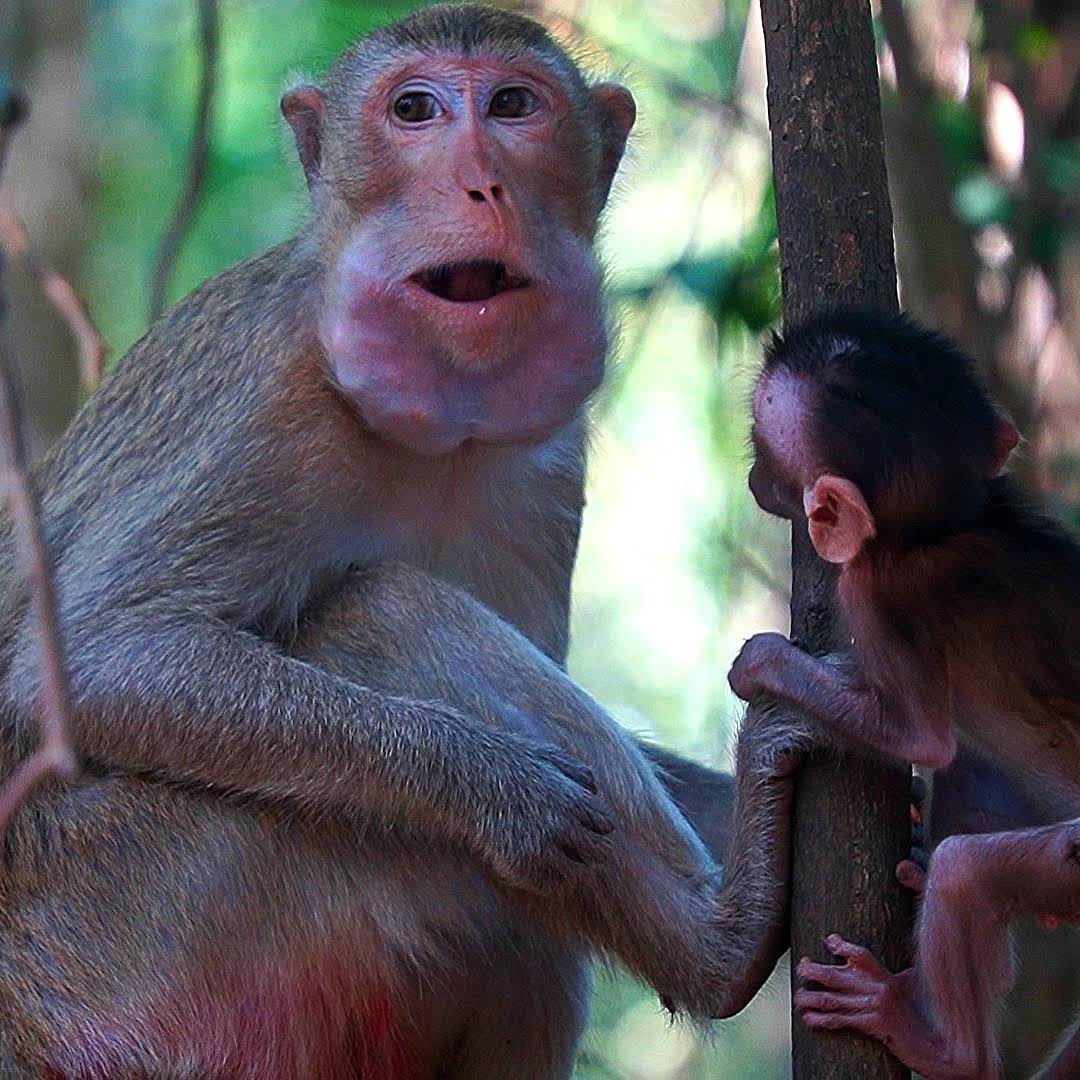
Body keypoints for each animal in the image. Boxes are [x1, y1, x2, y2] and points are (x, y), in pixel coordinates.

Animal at [0, 6, 806, 1076]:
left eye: (512, 105)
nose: (480, 180)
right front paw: (495, 789)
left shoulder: (546, 469)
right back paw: (722, 943)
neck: (435, 432)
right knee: (389, 613)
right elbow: (93, 664)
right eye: (415, 110)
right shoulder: (266, 403)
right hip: (137, 925)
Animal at [727, 306, 1080, 1080]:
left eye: (761, 447)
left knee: (968, 872)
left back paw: (937, 1041)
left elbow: (921, 736)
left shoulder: (872, 588)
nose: (750, 478)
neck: (950, 525)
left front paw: (760, 663)